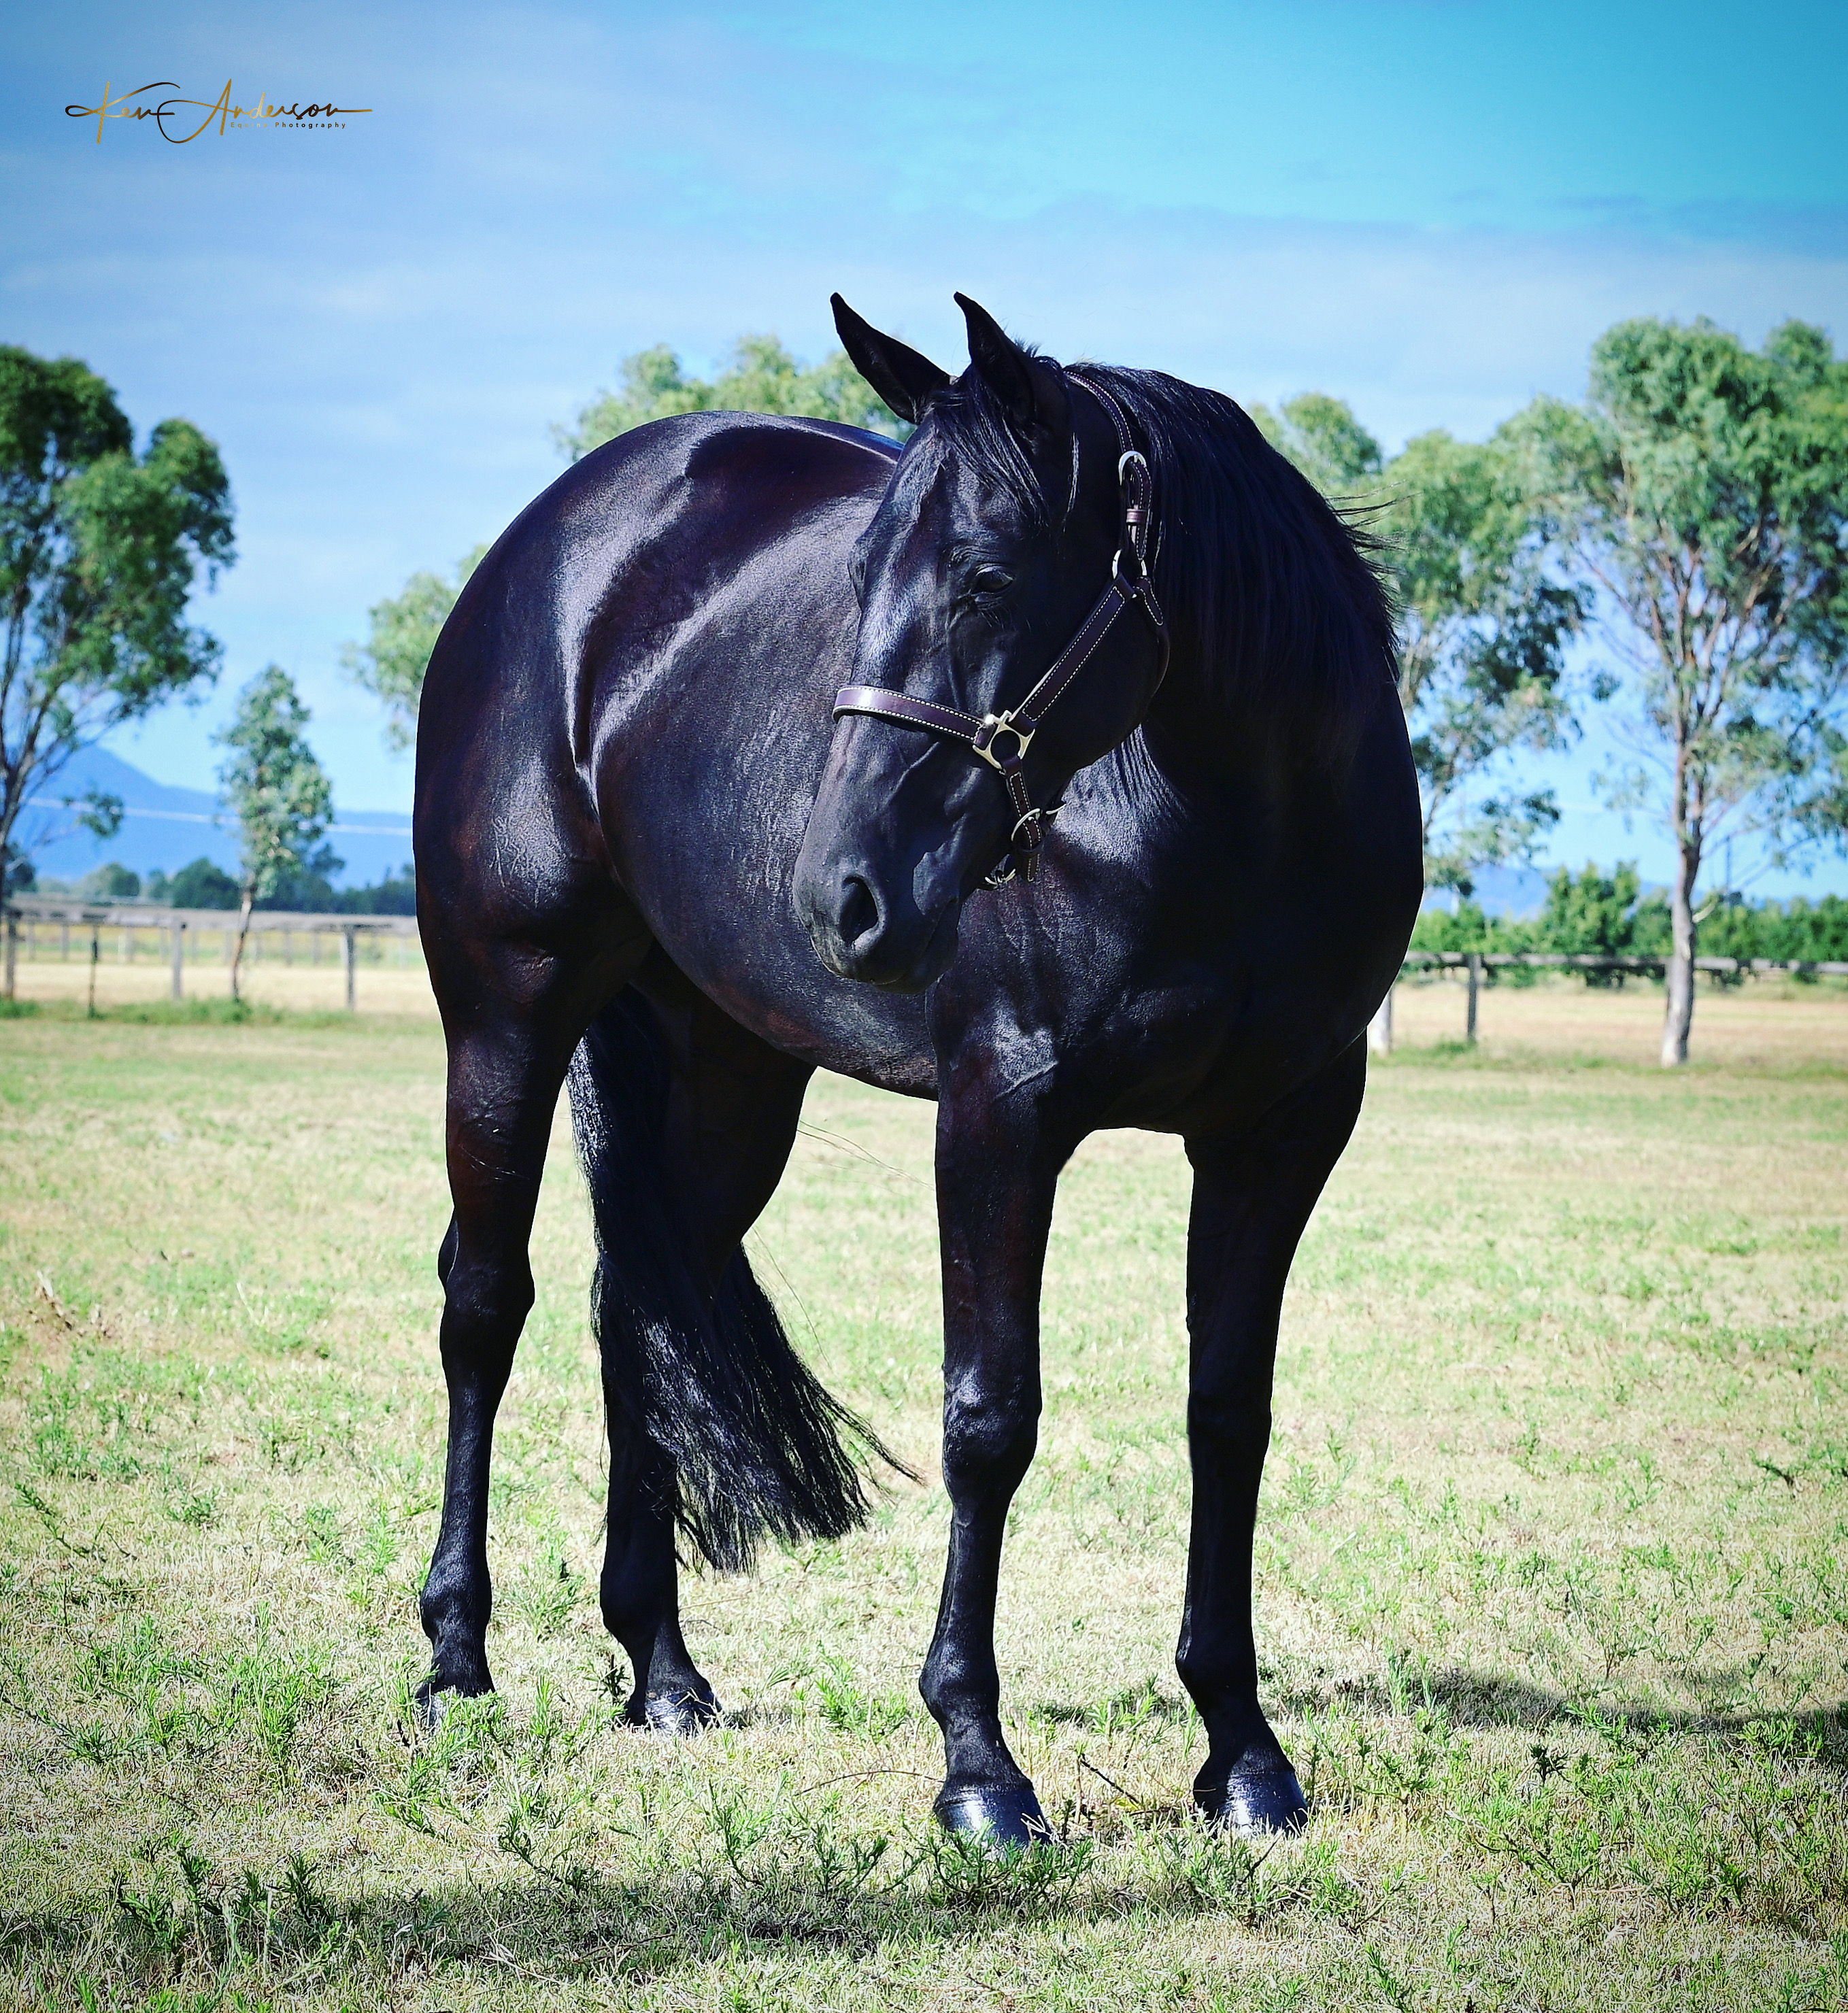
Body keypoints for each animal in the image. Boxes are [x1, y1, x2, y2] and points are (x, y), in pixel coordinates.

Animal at [411, 292, 1422, 1846]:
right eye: (860, 572)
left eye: (987, 577)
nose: (843, 895)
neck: (1228, 825)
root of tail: (551, 543)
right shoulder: (999, 1116)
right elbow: (987, 1420)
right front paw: (977, 1763)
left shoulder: (1281, 1131)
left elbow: (1226, 1419)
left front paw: (1241, 1752)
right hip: (506, 1013)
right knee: (484, 1301)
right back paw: (455, 1655)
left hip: (726, 1073)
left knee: (632, 1309)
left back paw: (660, 1671)